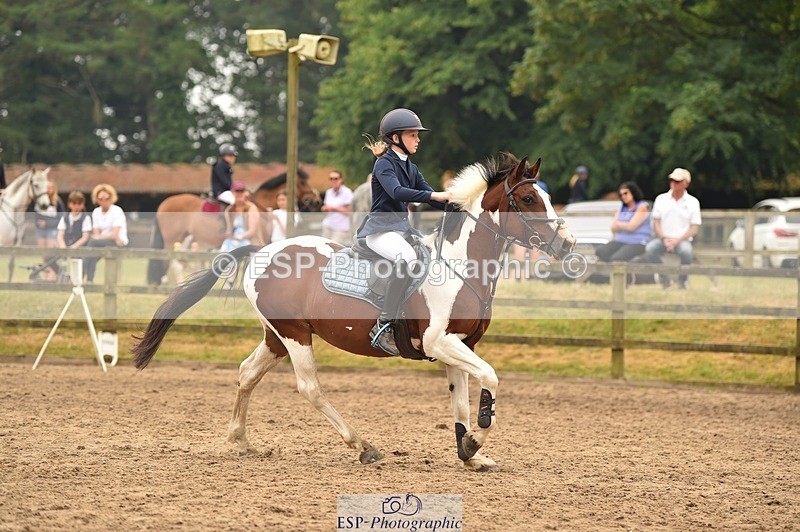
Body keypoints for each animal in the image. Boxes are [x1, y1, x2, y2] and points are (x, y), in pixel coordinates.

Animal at [132, 154, 575, 471]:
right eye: (529, 199)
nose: (567, 245)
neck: (460, 266)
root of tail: (262, 250)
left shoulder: (457, 345)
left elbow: (461, 401)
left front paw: (470, 451)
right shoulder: (440, 341)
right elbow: (490, 379)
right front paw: (476, 440)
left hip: (276, 336)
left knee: (247, 374)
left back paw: (239, 440)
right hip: (295, 334)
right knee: (310, 387)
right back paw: (363, 446)